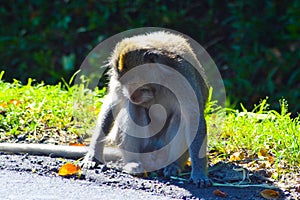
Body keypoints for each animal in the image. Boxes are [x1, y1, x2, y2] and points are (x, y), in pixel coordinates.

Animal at [80, 30, 211, 188]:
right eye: (125, 84)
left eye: (136, 83)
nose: (132, 95)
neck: (160, 80)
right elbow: (114, 103)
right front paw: (93, 156)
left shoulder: (183, 77)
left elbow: (193, 117)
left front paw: (199, 173)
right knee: (133, 107)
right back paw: (134, 163)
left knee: (181, 117)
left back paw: (173, 165)